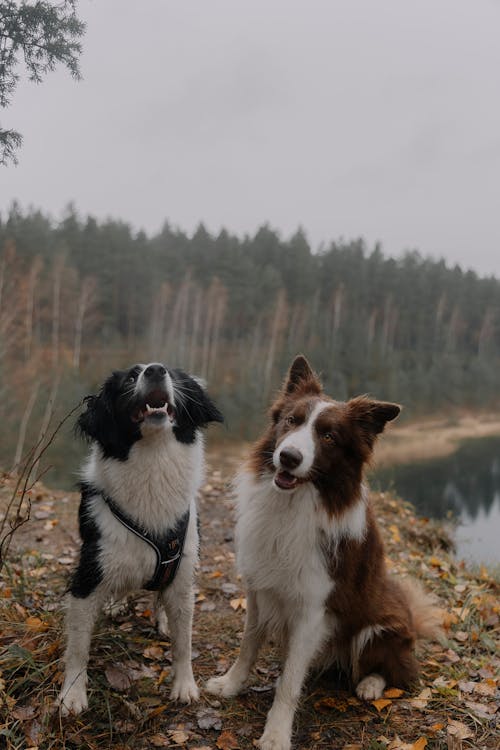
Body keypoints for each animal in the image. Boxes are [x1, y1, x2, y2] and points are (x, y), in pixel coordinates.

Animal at [55, 364, 222, 716]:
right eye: (131, 377)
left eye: (174, 374)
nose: (156, 370)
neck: (153, 458)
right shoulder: (88, 576)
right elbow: (78, 647)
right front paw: (72, 695)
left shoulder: (182, 572)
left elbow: (183, 641)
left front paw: (184, 685)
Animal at [207, 356, 442, 750]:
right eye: (291, 421)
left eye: (329, 437)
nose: (288, 457)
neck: (292, 506)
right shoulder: (258, 589)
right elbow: (248, 644)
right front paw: (231, 684)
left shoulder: (313, 609)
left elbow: (289, 682)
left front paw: (276, 733)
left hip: (379, 627)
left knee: (400, 671)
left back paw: (370, 684)